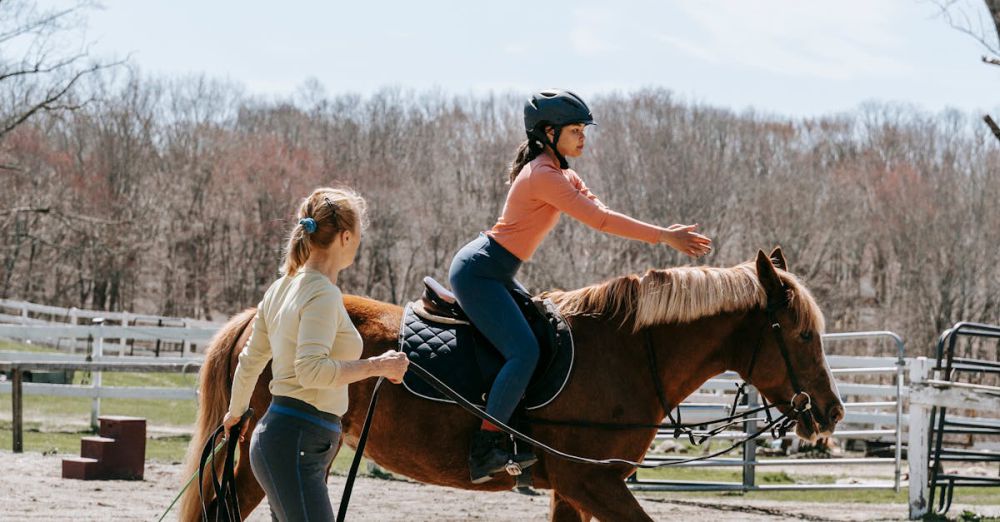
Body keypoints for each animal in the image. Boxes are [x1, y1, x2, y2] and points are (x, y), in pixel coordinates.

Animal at [178, 248, 844, 520]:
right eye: (801, 334)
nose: (831, 412)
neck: (625, 353)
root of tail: (261, 314)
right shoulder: (594, 483)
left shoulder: (573, 490)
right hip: (253, 461)